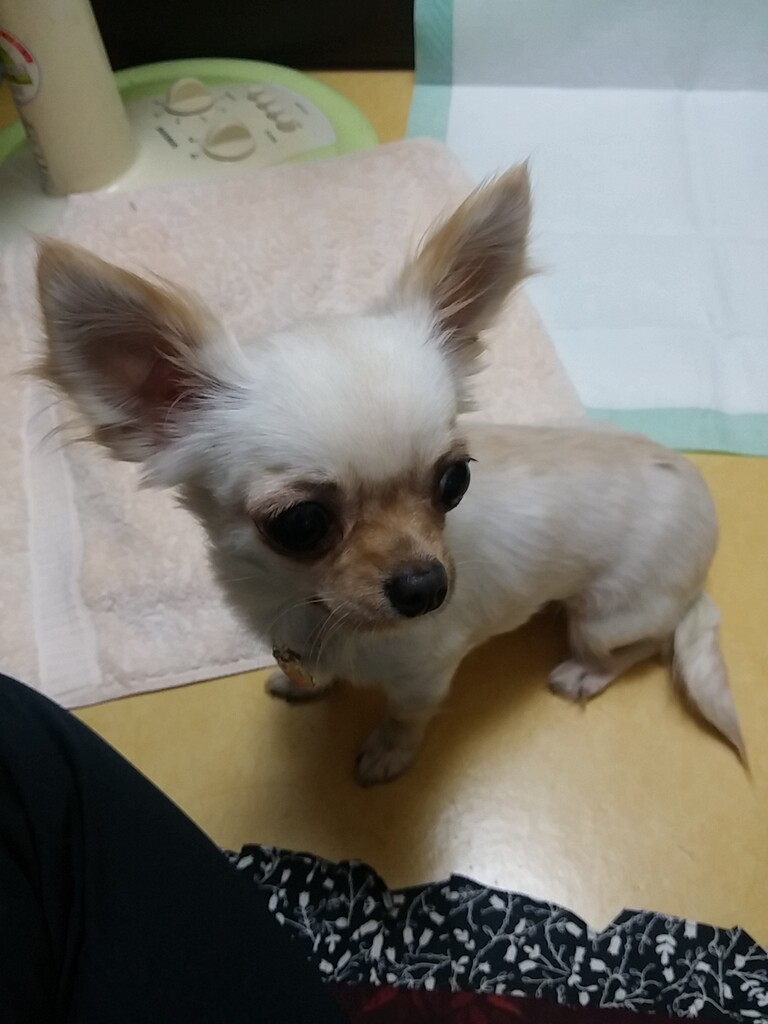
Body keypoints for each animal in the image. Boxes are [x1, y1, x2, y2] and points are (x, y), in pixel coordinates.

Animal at [36, 165, 743, 784]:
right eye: (301, 524)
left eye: (454, 481)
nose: (426, 587)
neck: (315, 610)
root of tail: (705, 552)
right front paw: (305, 687)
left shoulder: (425, 673)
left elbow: (407, 717)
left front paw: (388, 753)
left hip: (607, 615)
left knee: (641, 646)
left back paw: (584, 672)